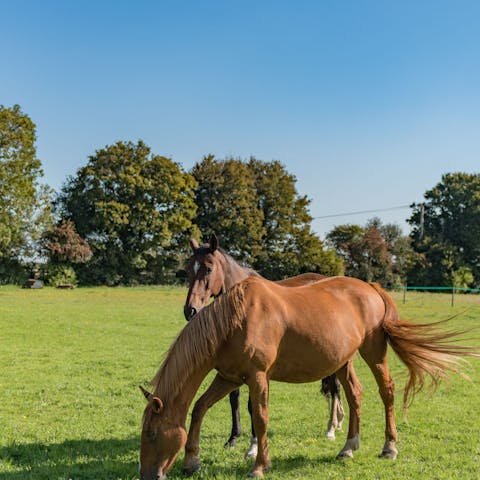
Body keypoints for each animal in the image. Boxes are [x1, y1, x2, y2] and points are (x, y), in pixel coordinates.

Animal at [139, 276, 476, 478]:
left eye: (153, 434)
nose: (147, 475)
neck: (235, 319)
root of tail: (371, 287)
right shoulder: (230, 377)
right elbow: (199, 409)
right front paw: (191, 461)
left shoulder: (257, 377)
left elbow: (260, 418)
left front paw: (259, 466)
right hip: (342, 361)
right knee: (355, 394)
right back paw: (348, 447)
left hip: (374, 353)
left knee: (387, 392)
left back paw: (389, 448)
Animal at [184, 234, 344, 456]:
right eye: (189, 269)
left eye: (208, 269)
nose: (190, 310)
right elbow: (235, 398)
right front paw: (233, 439)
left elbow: (254, 405)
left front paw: (252, 447)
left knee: (335, 387)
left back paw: (331, 429)